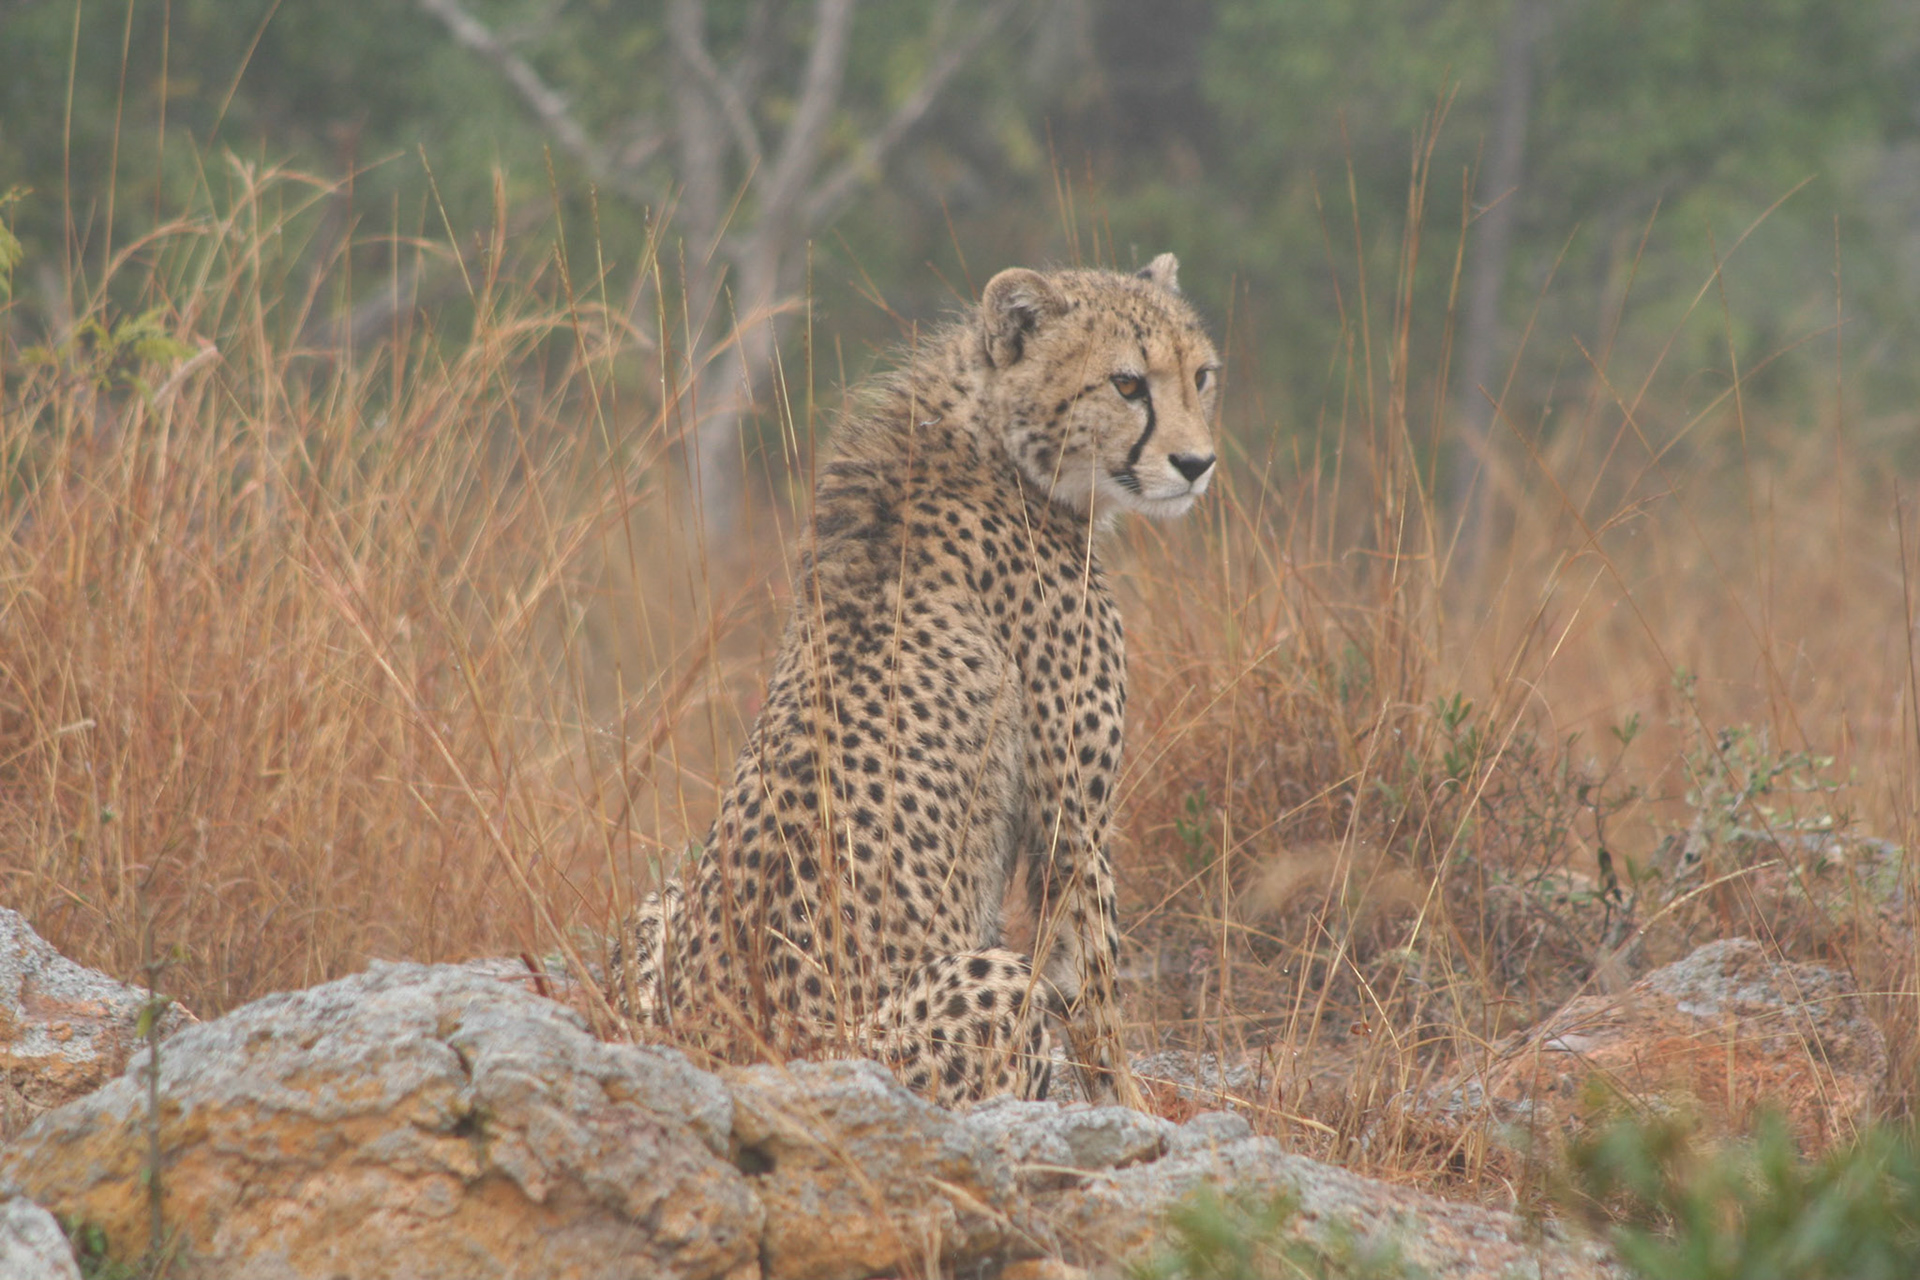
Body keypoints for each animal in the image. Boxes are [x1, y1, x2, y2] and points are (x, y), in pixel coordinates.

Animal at [610, 253, 1220, 1109]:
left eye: (1201, 376)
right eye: (1128, 383)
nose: (1197, 465)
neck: (994, 442)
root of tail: (711, 1050)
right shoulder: (1073, 824)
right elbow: (1096, 994)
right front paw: (1135, 1110)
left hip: (661, 898)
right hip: (973, 993)